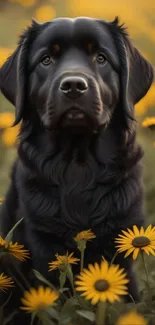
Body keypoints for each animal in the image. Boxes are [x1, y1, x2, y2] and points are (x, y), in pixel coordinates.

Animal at [0, 15, 154, 324]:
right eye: (46, 59)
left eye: (101, 57)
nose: (73, 85)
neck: (77, 165)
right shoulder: (43, 243)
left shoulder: (122, 234)